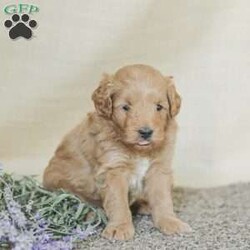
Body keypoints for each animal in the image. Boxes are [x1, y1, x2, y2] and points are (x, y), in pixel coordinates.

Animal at [43, 64, 191, 240]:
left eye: (159, 107)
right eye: (125, 107)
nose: (146, 132)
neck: (139, 150)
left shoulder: (159, 168)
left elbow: (163, 198)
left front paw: (170, 222)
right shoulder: (113, 170)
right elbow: (118, 202)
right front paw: (119, 228)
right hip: (61, 186)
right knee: (76, 202)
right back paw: (92, 214)